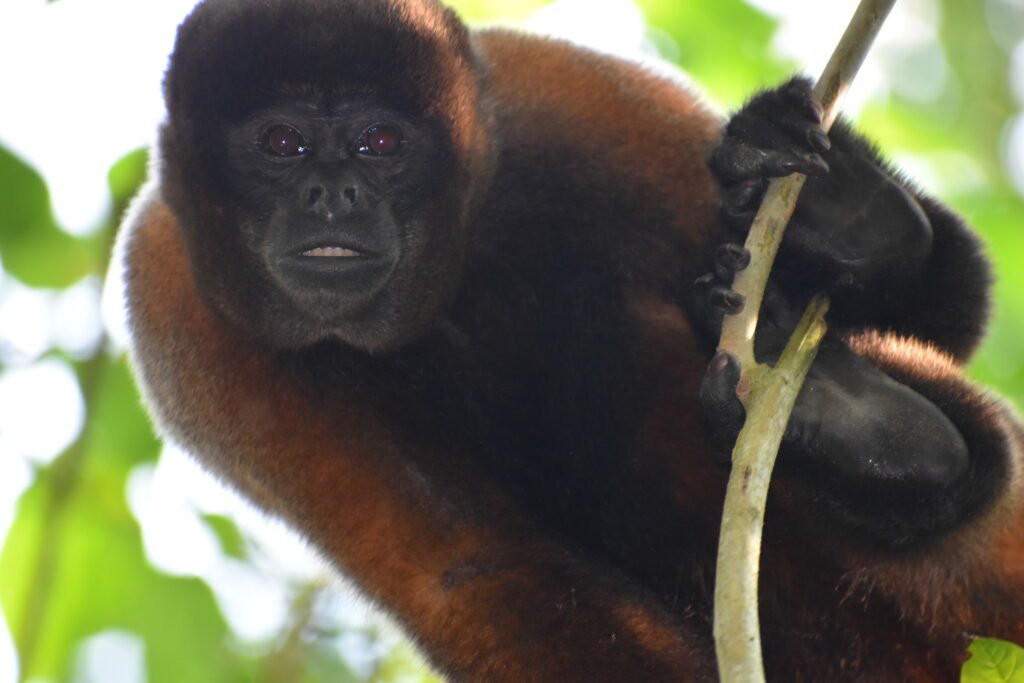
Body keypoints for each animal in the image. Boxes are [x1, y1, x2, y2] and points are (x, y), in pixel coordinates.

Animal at [115, 0, 1024, 680]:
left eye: (380, 142)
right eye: (281, 142)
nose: (332, 194)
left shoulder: (557, 94)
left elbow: (961, 314)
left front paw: (848, 224)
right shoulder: (174, 306)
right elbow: (482, 568)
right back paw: (863, 426)